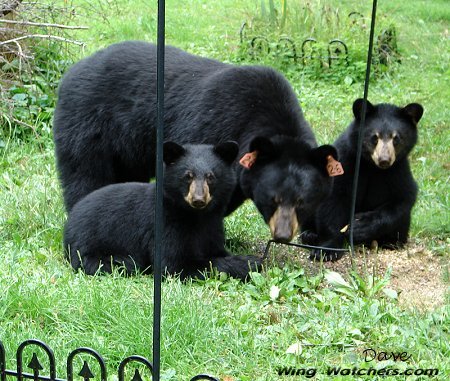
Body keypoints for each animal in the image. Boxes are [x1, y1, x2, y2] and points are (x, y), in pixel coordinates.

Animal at [52, 41, 334, 242]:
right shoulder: (210, 127)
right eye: (272, 199)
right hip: (88, 124)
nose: (283, 236)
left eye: (302, 202)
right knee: (85, 174)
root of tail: (71, 71)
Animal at [63, 140, 260, 280]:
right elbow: (175, 264)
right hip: (90, 249)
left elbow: (215, 248)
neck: (196, 216)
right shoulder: (165, 225)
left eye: (210, 177)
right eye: (188, 176)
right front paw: (249, 263)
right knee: (121, 264)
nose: (198, 200)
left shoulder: (212, 226)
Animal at [302, 98, 426, 260]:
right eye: (374, 137)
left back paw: (391, 241)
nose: (384, 160)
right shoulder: (345, 160)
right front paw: (326, 250)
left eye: (396, 138)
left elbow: (403, 198)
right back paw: (309, 234)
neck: (371, 166)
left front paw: (360, 226)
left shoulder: (398, 170)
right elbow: (333, 202)